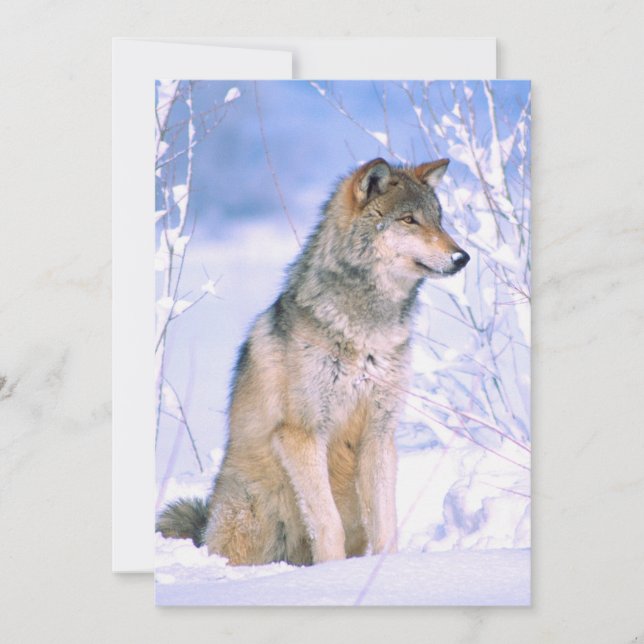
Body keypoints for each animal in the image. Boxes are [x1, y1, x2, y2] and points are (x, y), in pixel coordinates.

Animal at [157, 157, 470, 565]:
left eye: (438, 219)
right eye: (409, 220)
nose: (462, 257)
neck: (366, 332)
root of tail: (204, 527)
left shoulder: (379, 434)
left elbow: (386, 525)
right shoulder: (302, 433)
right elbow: (327, 523)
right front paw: (333, 572)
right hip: (251, 512)